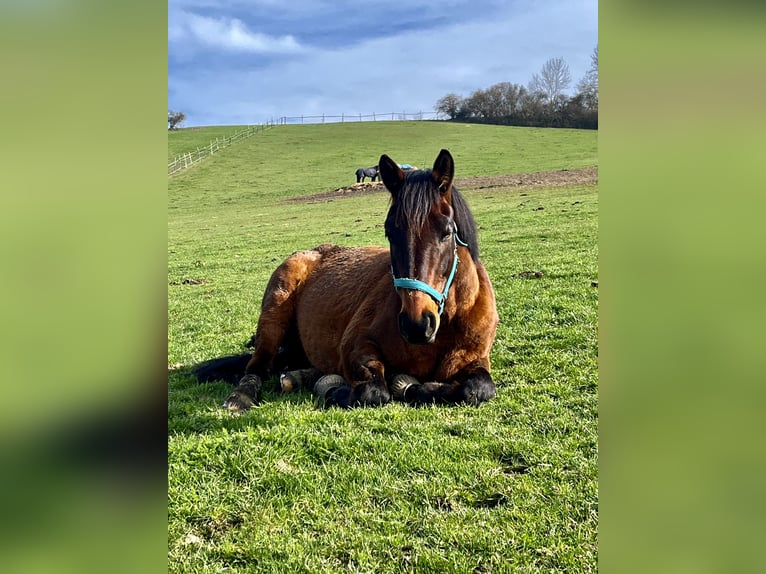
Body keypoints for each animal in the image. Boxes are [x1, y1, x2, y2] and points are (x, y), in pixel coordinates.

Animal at [195, 148, 500, 410]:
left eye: (446, 232)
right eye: (390, 232)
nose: (416, 324)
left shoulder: (474, 358)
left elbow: (477, 388)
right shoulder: (355, 345)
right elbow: (374, 391)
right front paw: (342, 390)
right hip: (273, 316)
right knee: (258, 366)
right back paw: (242, 397)